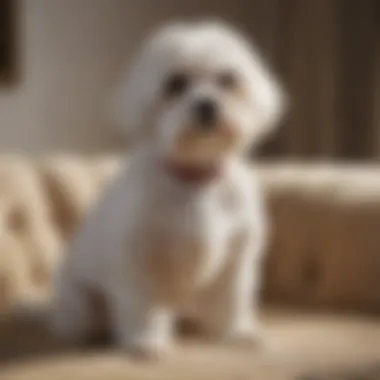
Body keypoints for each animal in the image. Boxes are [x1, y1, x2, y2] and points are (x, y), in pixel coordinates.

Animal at [49, 20, 284, 360]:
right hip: (80, 305)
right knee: (83, 322)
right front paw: (146, 342)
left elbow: (232, 299)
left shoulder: (236, 259)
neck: (196, 178)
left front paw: (238, 332)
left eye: (228, 80)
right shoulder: (140, 259)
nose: (206, 104)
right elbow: (144, 306)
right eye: (175, 84)